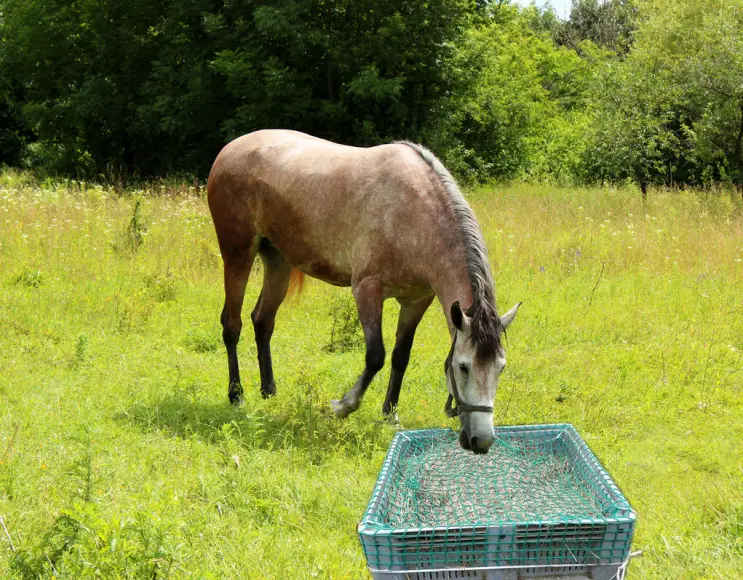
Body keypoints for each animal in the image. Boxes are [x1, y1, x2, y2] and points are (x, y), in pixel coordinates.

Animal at [208, 129, 524, 456]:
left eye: (500, 368)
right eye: (463, 367)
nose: (482, 441)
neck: (414, 214)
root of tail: (230, 149)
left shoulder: (416, 301)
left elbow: (400, 356)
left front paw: (390, 414)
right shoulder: (367, 290)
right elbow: (376, 356)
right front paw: (343, 406)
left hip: (277, 260)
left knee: (263, 320)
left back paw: (268, 390)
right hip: (237, 254)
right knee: (232, 324)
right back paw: (236, 394)